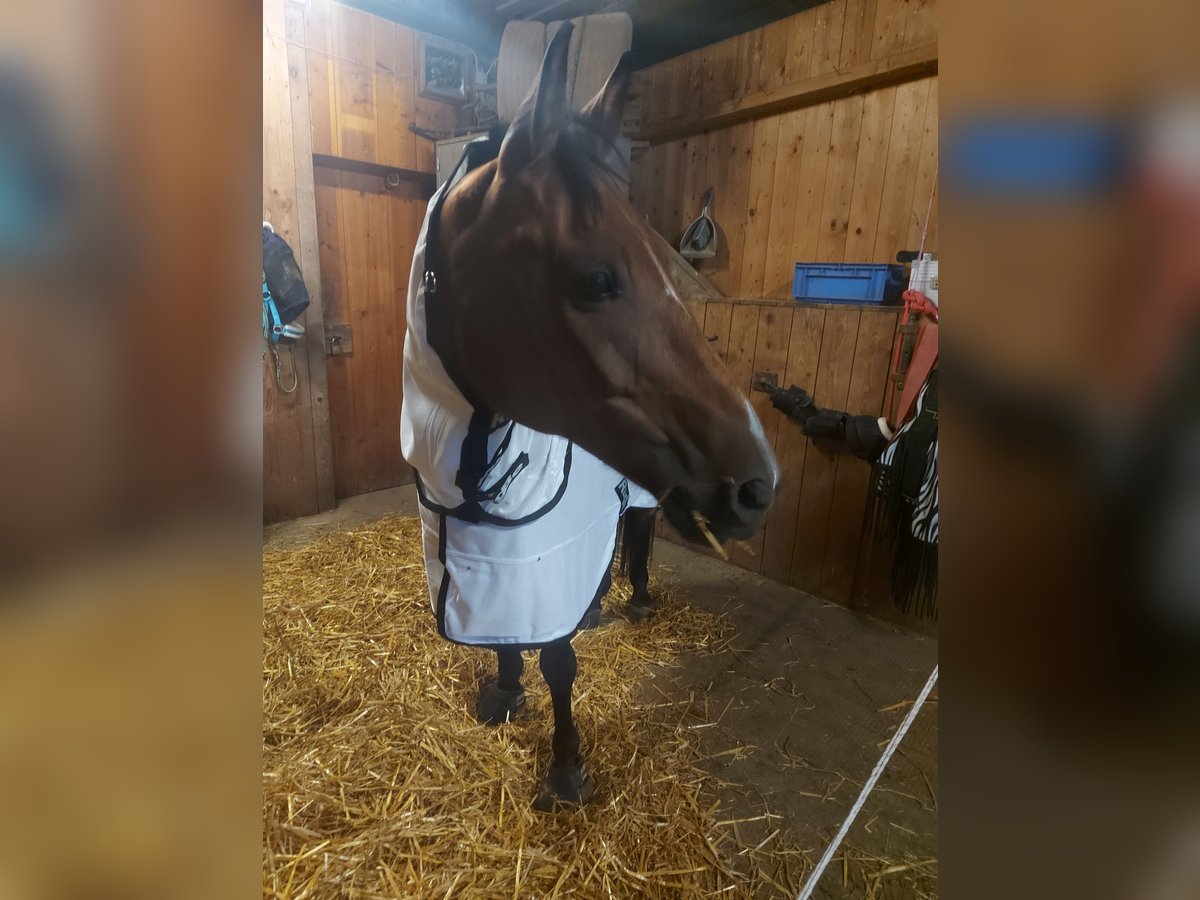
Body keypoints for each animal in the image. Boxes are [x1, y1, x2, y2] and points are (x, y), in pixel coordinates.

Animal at [415, 22, 777, 811]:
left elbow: (558, 662)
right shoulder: (492, 559)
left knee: (638, 533)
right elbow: (509, 635)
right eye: (598, 279)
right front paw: (504, 695)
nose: (758, 485)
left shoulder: (543, 553)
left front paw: (564, 766)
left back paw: (634, 601)